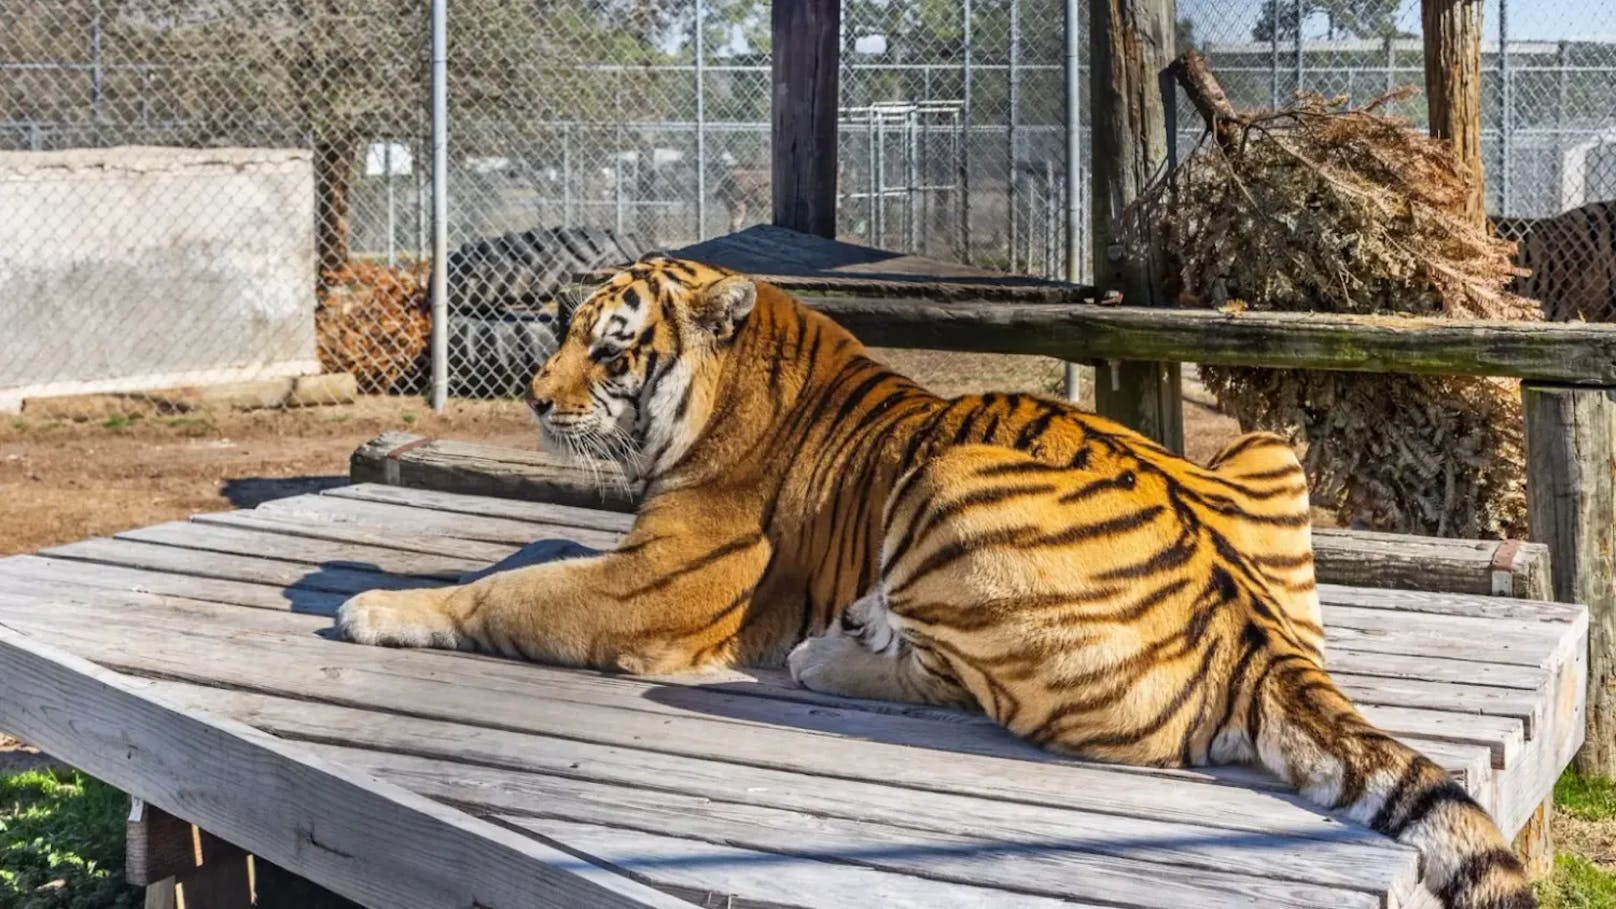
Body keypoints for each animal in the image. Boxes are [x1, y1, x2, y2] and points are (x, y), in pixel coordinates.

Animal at [337, 255, 1525, 905]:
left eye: (613, 349)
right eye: (565, 333)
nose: (535, 401)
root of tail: (1255, 637)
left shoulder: (653, 587)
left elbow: (500, 591)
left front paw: (371, 606)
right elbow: (528, 556)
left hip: (944, 479)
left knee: (962, 686)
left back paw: (829, 655)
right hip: (1267, 448)